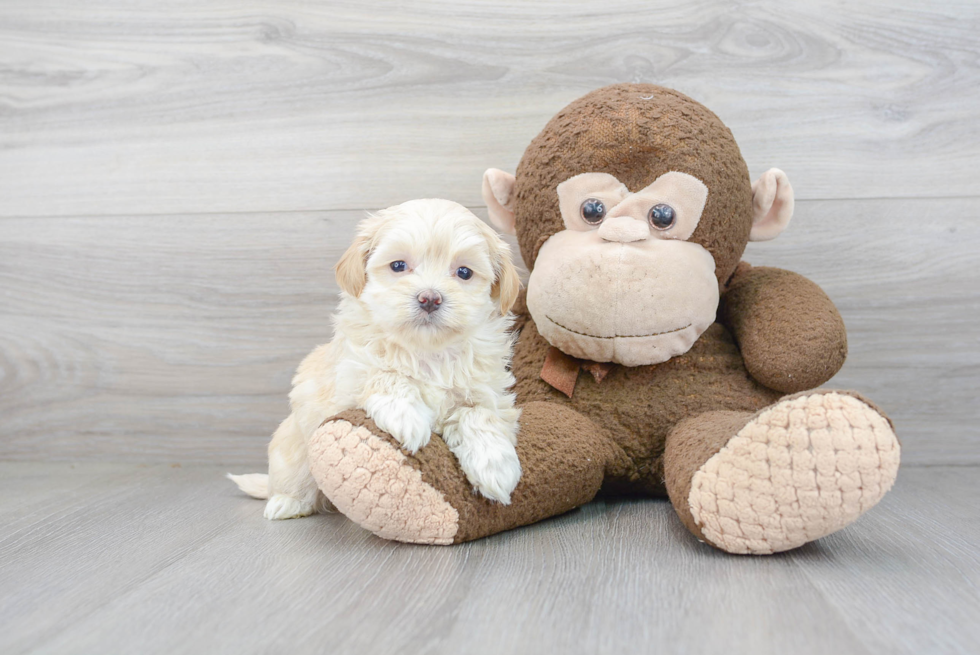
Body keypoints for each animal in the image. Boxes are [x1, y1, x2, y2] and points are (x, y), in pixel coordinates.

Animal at [231, 197, 524, 520]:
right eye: (398, 265)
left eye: (464, 273)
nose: (430, 298)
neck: (426, 350)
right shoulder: (349, 376)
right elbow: (384, 373)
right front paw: (405, 416)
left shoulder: (488, 392)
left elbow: (480, 415)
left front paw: (495, 466)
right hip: (294, 446)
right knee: (294, 479)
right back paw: (286, 502)